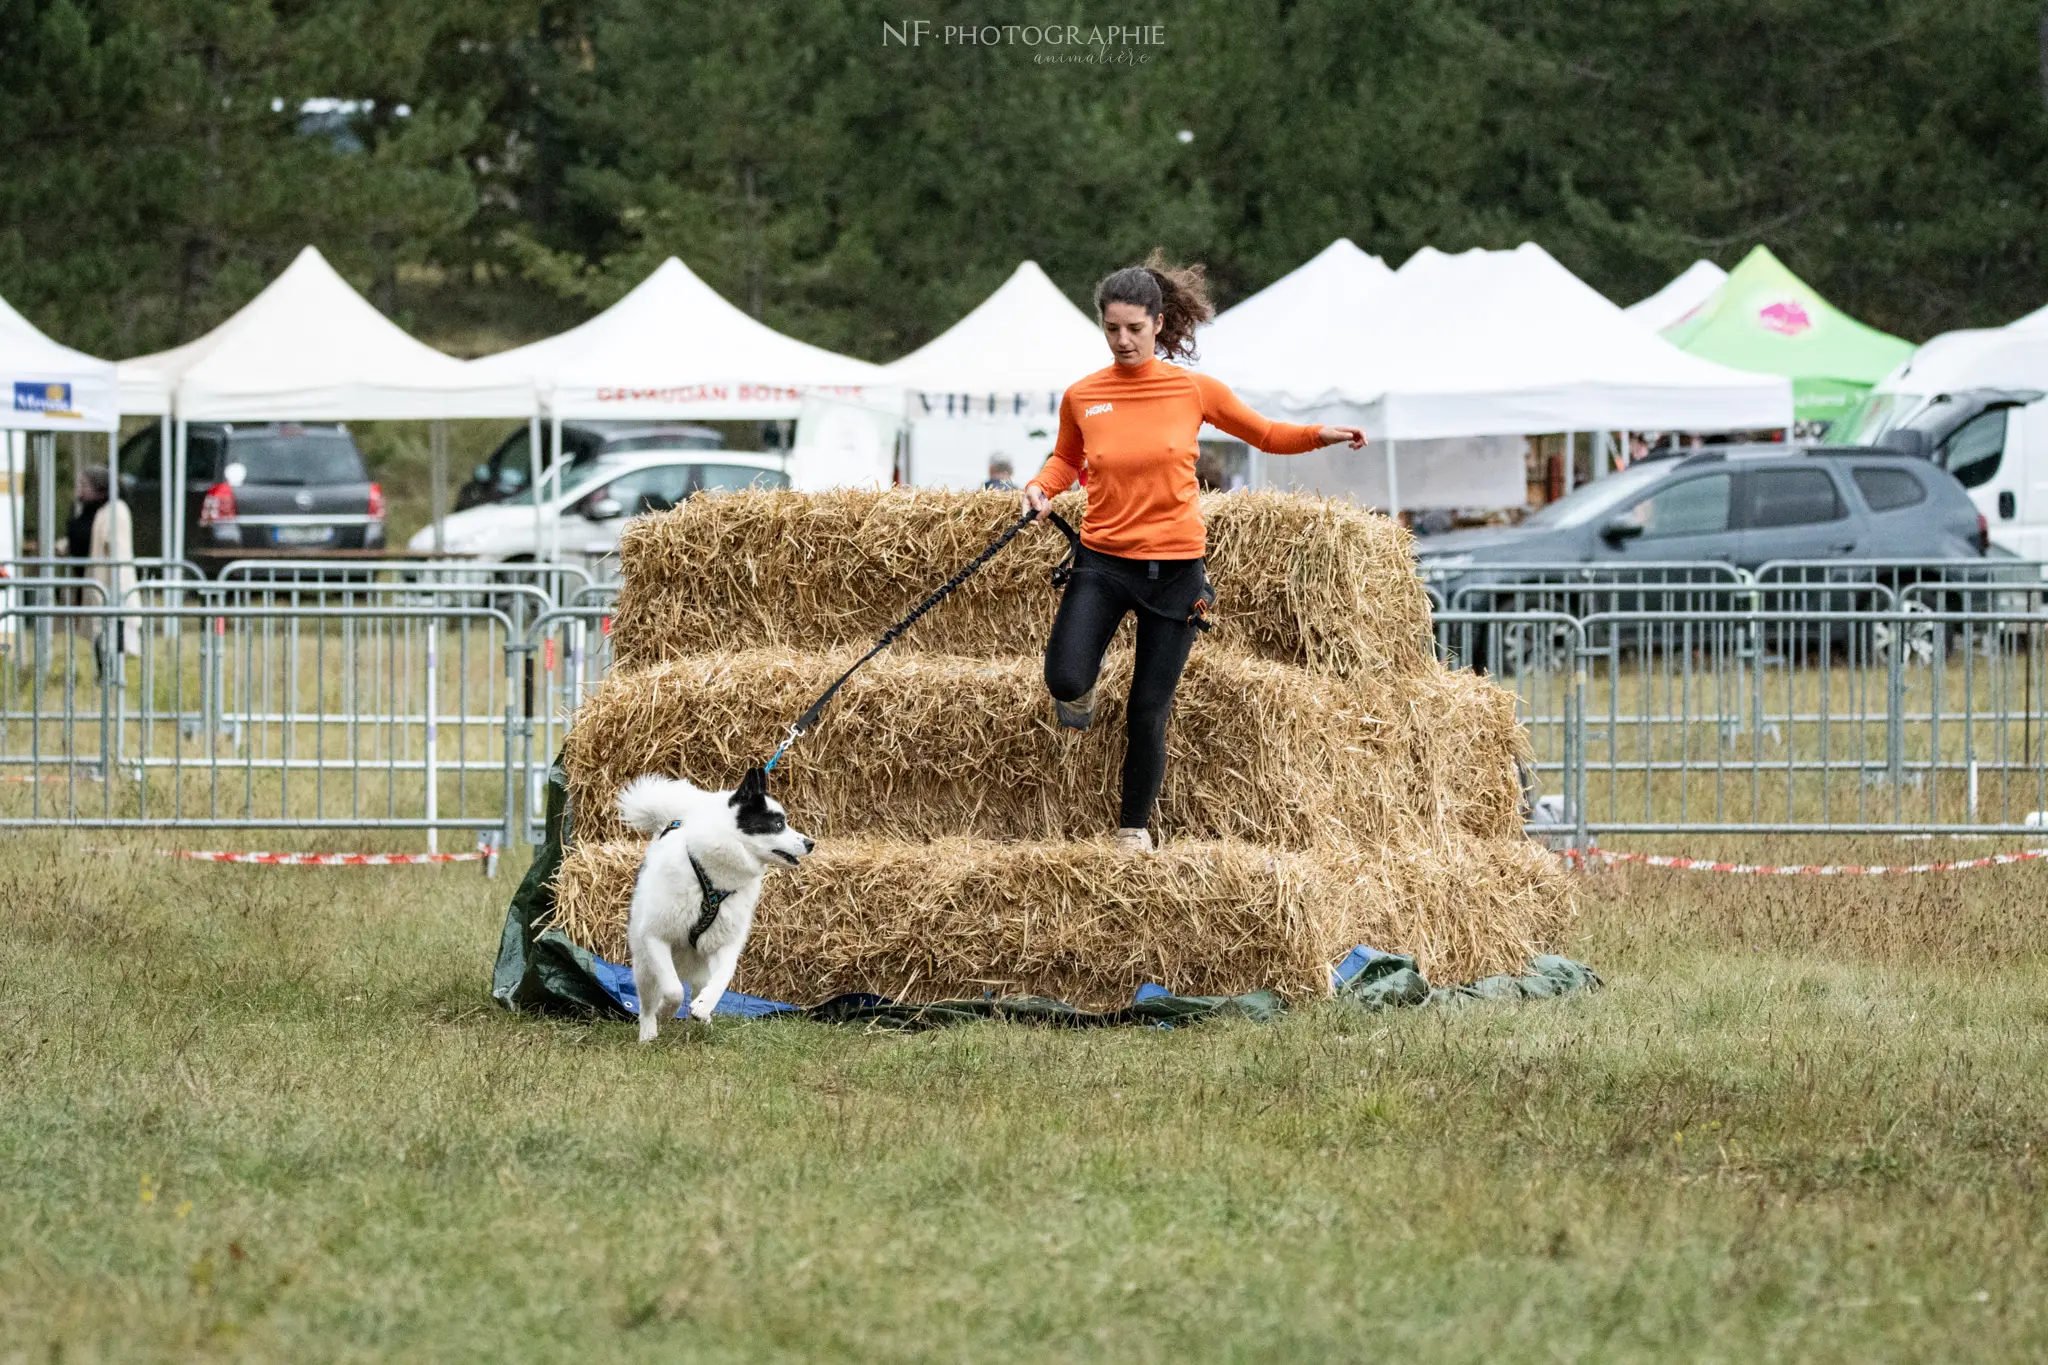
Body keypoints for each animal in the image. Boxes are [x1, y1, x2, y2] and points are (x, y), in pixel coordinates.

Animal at [618, 765, 811, 1039]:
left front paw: (703, 1007)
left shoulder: (726, 944)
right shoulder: (656, 938)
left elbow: (722, 980)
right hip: (644, 966)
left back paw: (703, 1020)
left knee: (700, 986)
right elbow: (674, 990)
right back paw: (648, 1033)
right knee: (647, 1003)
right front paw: (666, 1013)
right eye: (778, 824)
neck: (713, 878)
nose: (810, 843)